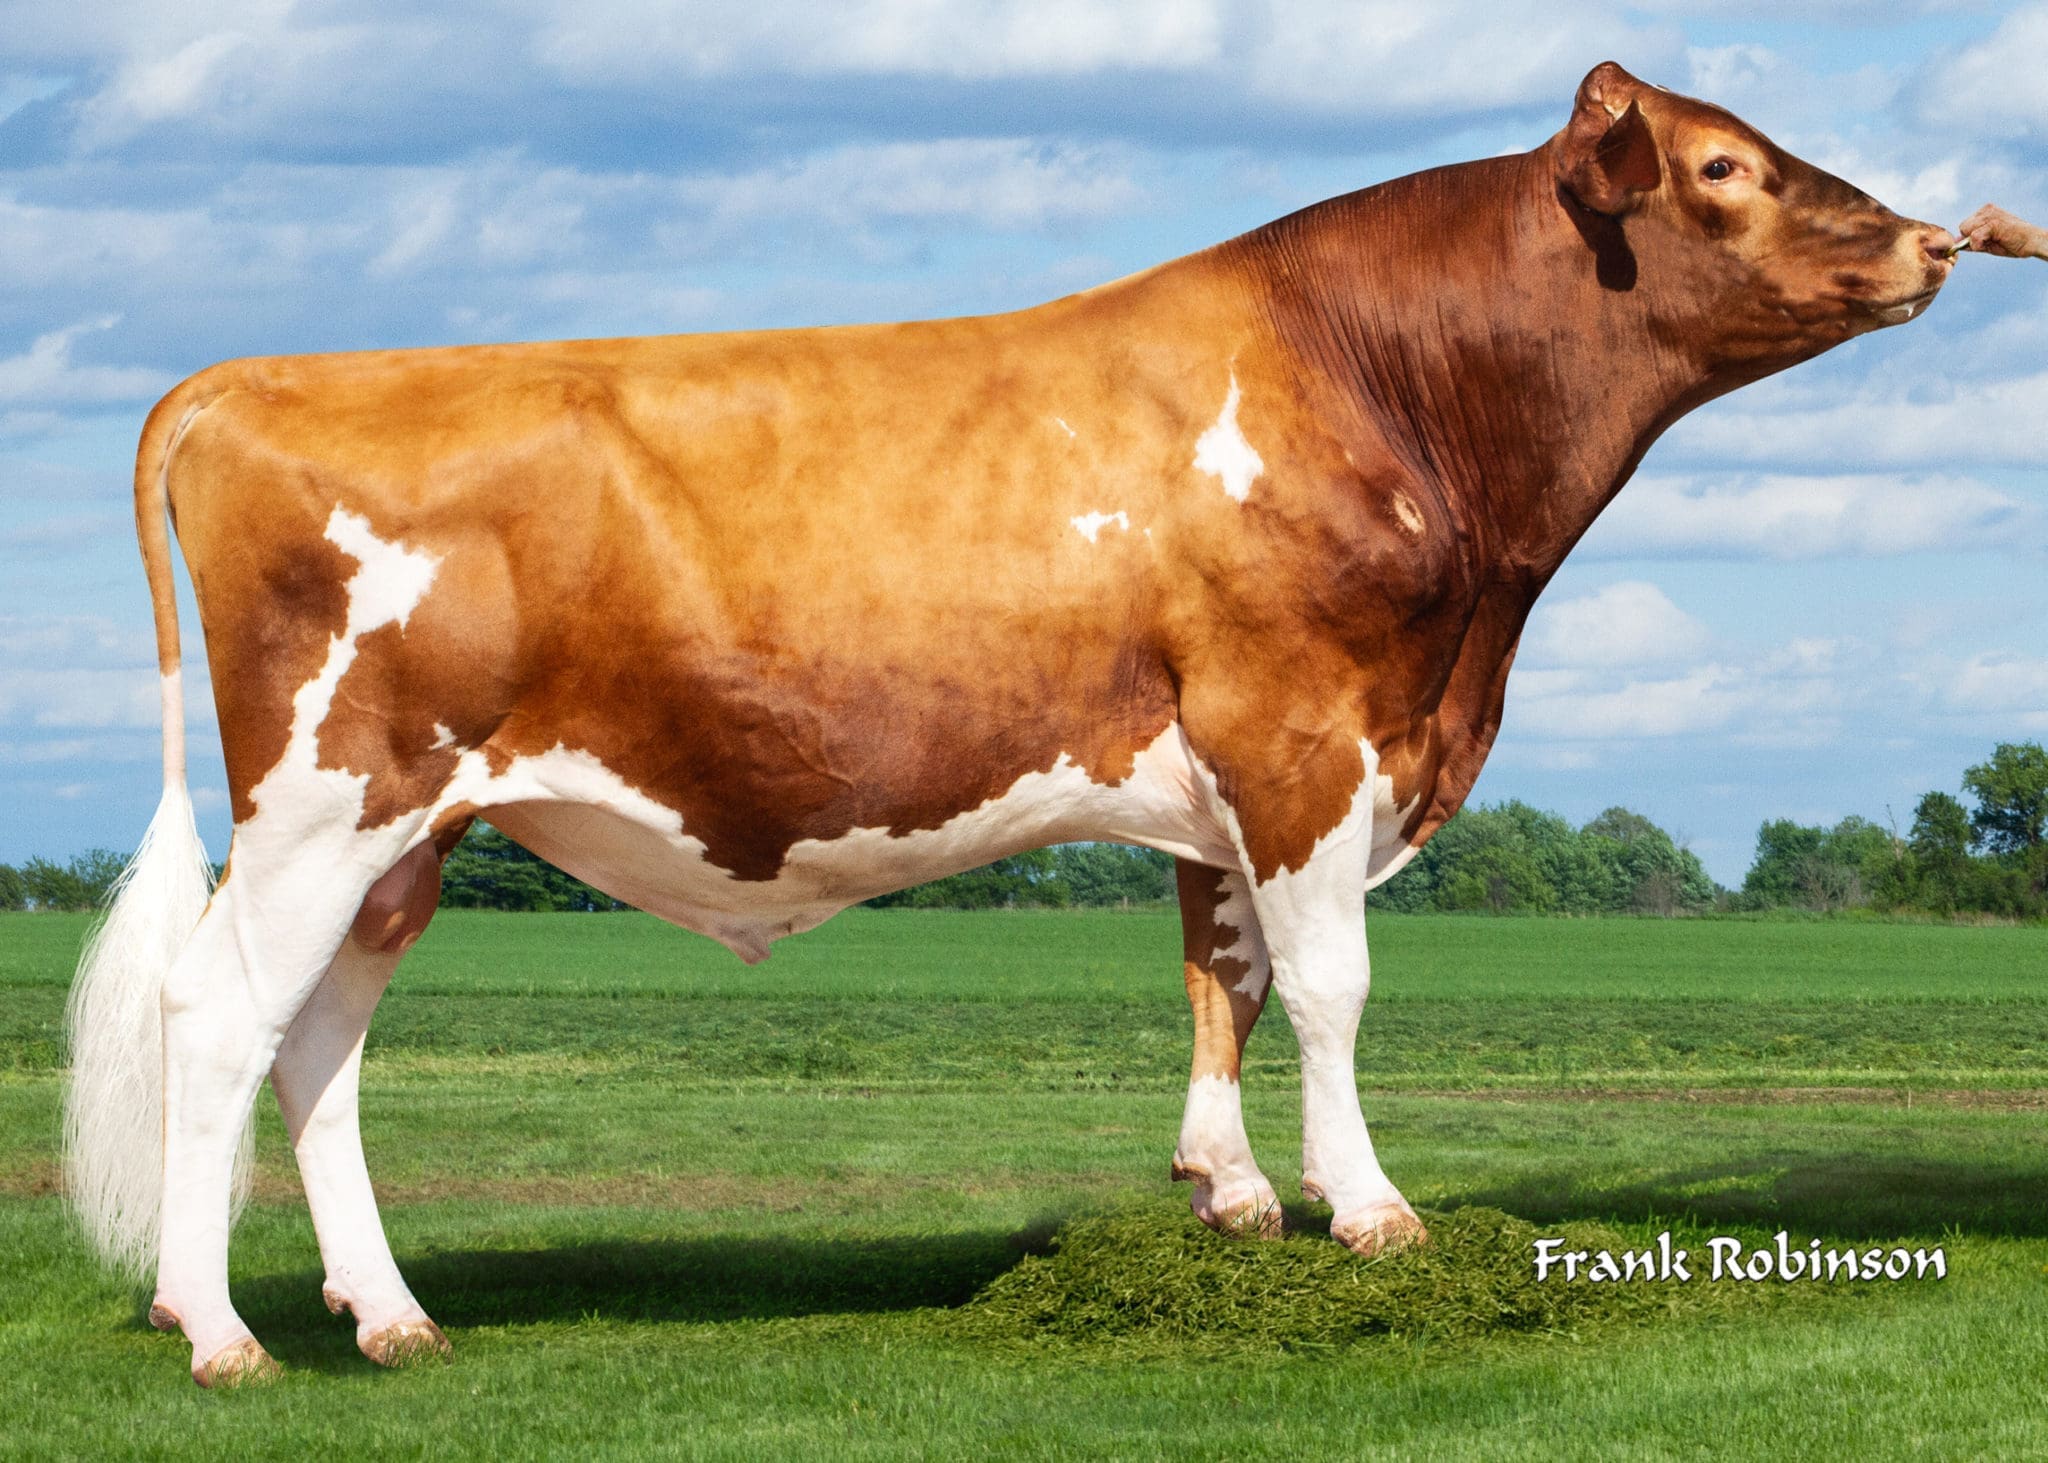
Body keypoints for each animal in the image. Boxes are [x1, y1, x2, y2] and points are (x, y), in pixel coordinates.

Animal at [64, 62, 1957, 1386]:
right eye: (1723, 167)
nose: (1934, 238)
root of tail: (250, 377)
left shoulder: (1229, 762)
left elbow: (1222, 973)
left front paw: (1231, 1197)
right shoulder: (1298, 731)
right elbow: (1327, 985)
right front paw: (1370, 1213)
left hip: (410, 835)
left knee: (318, 1044)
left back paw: (387, 1315)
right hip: (329, 797)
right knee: (218, 1014)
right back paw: (214, 1328)